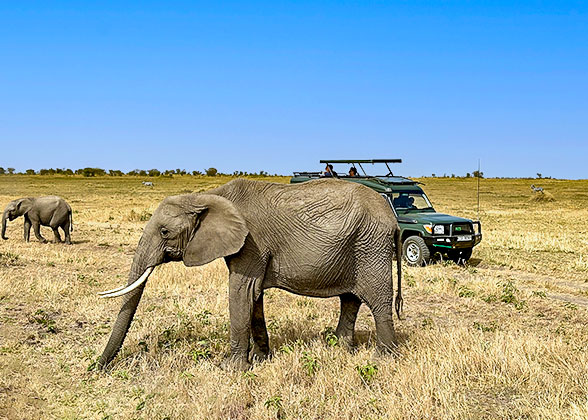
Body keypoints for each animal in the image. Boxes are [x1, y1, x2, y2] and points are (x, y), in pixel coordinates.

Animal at [99, 179, 404, 370]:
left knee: (377, 301)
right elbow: (253, 297)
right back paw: (339, 350)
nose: (97, 368)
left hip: (371, 246)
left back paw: (384, 359)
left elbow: (241, 291)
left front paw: (231, 369)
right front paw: (260, 360)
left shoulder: (251, 243)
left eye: (164, 232)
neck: (208, 195)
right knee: (350, 299)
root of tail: (394, 220)